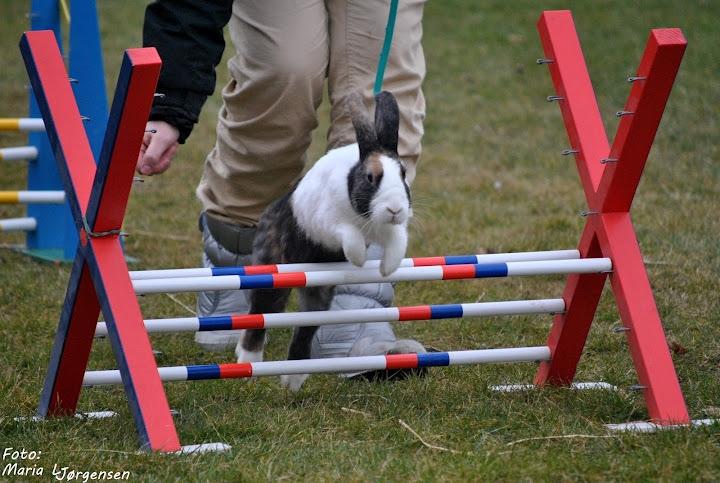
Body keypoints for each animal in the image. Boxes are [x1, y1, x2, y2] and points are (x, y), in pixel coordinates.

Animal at [236, 91, 414, 394]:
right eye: (371, 177)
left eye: (403, 174)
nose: (395, 208)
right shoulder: (331, 224)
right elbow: (349, 236)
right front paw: (357, 259)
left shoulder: (388, 230)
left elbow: (397, 241)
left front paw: (387, 268)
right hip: (272, 275)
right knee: (259, 316)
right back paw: (248, 363)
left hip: (318, 296)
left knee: (305, 329)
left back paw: (293, 380)